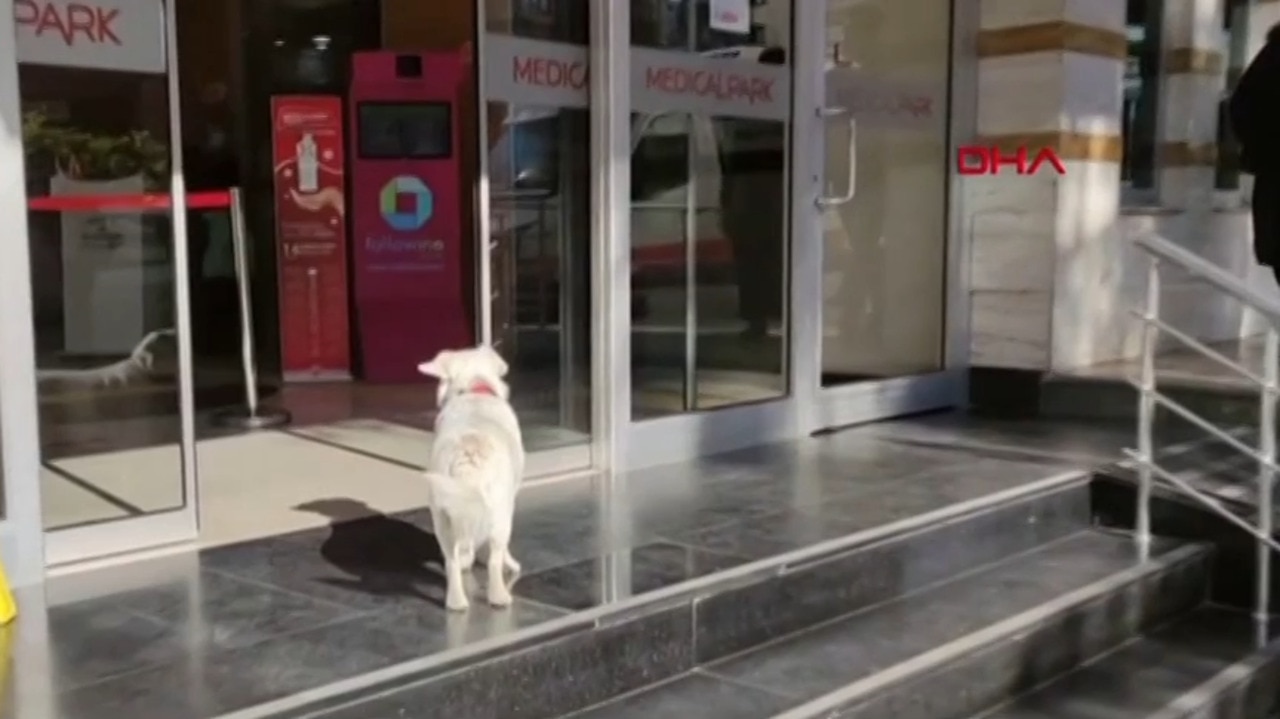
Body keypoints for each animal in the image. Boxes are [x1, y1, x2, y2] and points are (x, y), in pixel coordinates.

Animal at [417, 345, 522, 606]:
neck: (474, 390)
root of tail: (469, 451)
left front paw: (468, 558)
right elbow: (500, 551)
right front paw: (511, 564)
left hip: (442, 514)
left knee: (451, 561)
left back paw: (456, 602)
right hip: (500, 512)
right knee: (495, 558)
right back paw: (499, 596)